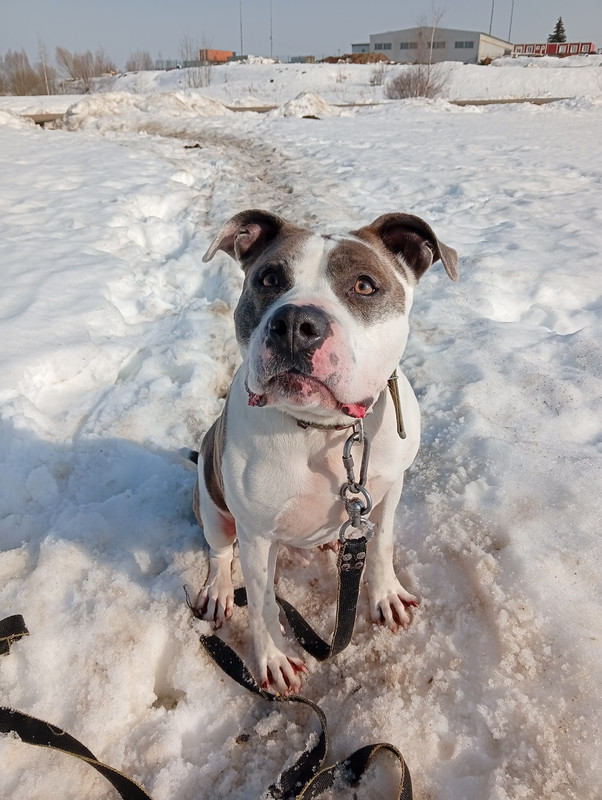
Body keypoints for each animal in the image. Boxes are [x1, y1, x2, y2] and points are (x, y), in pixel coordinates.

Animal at [194, 209, 458, 694]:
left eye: (365, 286)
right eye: (269, 279)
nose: (295, 324)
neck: (322, 429)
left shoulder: (390, 489)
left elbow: (383, 543)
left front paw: (386, 595)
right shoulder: (256, 535)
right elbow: (261, 602)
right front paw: (274, 658)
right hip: (211, 501)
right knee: (219, 553)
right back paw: (218, 591)